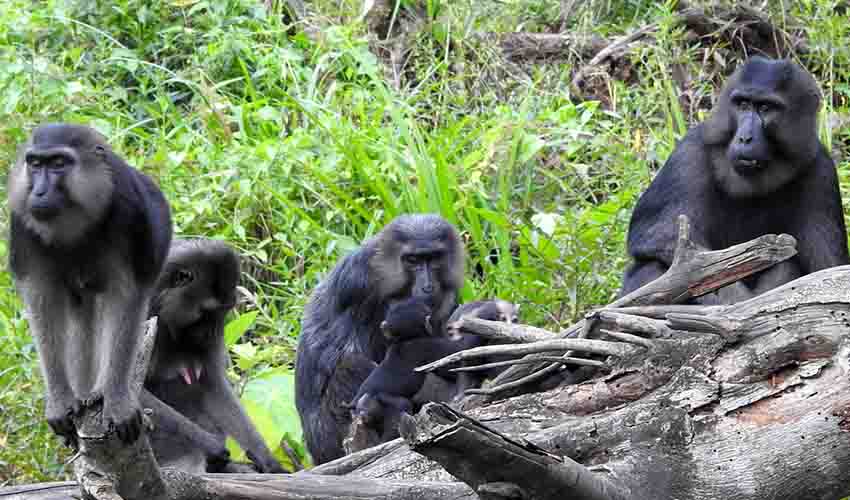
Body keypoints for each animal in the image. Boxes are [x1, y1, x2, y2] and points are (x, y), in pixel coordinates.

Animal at [7, 123, 172, 447]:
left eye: (59, 163)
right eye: (35, 164)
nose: (39, 191)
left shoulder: (129, 214)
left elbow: (126, 297)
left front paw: (117, 401)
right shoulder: (22, 222)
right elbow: (42, 301)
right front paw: (60, 402)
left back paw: (98, 392)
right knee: (80, 312)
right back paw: (83, 395)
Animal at [143, 238, 284, 473]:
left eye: (223, 311)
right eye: (206, 312)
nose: (211, 332)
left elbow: (214, 387)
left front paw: (267, 459)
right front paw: (211, 445)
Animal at [620, 57, 849, 304]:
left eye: (766, 108)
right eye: (743, 105)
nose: (745, 138)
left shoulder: (821, 171)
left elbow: (827, 269)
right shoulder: (689, 153)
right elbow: (659, 235)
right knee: (651, 265)